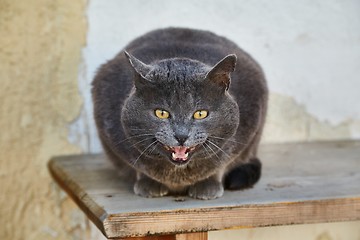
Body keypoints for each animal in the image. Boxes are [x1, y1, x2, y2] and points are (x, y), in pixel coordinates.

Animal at [93, 27, 268, 199]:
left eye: (200, 114)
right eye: (161, 113)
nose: (181, 135)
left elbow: (221, 163)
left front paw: (207, 187)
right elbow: (139, 167)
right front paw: (149, 184)